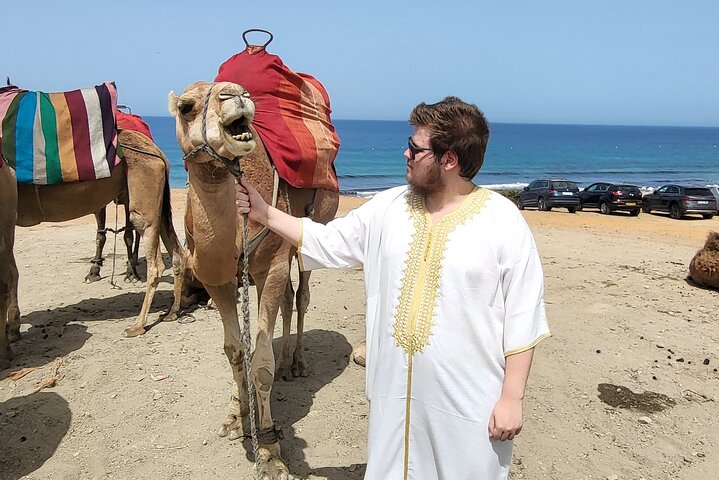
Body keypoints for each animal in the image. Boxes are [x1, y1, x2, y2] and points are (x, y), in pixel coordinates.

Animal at [2, 129, 187, 347]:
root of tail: (158, 152)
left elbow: (11, 274)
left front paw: (12, 330)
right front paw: (13, 328)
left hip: (143, 190)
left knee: (153, 255)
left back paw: (138, 324)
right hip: (159, 199)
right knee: (177, 254)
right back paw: (172, 312)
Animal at [169, 81, 338, 478]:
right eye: (186, 107)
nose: (235, 93)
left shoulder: (270, 267)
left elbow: (260, 361)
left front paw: (269, 447)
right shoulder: (216, 279)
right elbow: (234, 351)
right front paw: (237, 416)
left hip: (313, 226)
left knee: (302, 295)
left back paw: (298, 363)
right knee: (290, 299)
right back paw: (288, 362)